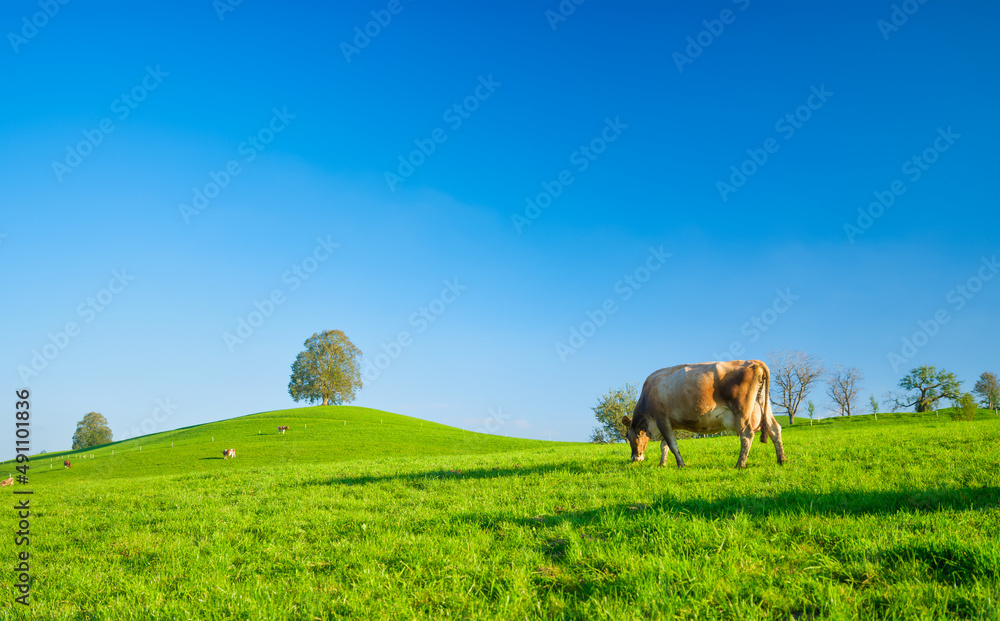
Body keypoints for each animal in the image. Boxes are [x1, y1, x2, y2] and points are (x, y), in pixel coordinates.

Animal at [616, 360, 788, 468]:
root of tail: (754, 362)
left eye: (627, 436)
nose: (634, 458)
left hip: (742, 410)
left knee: (747, 434)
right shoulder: (669, 422)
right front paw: (662, 464)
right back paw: (782, 460)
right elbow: (664, 445)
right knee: (775, 429)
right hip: (763, 405)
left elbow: (672, 445)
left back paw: (740, 464)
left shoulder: (661, 418)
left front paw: (681, 464)